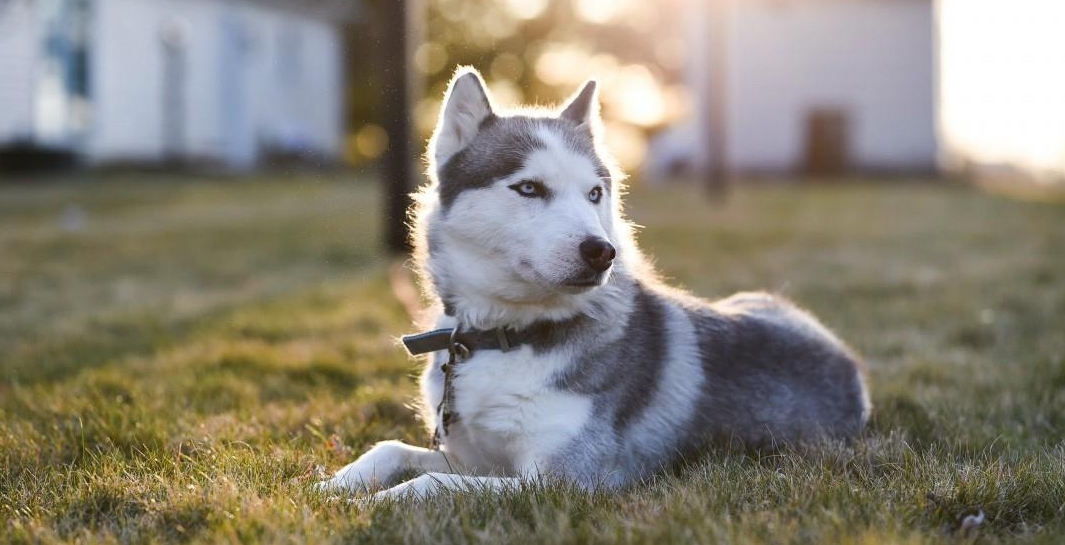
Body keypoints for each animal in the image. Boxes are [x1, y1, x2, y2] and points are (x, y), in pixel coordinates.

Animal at [315, 67, 864, 498]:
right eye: (529, 188)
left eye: (595, 193)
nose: (602, 252)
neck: (506, 336)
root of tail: (849, 363)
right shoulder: (476, 458)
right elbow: (389, 449)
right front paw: (329, 487)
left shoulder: (564, 480)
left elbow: (432, 483)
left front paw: (373, 502)